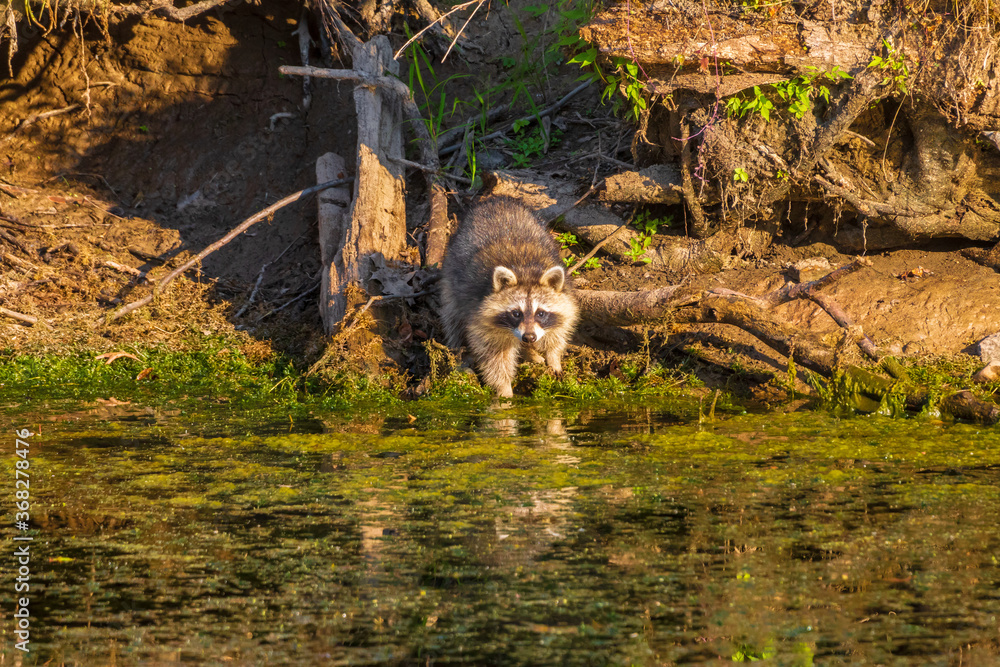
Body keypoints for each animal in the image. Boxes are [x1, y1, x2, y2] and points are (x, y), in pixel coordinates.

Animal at [440, 196, 580, 400]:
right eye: (516, 313)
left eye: (541, 313)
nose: (529, 337)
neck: (526, 272)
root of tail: (496, 200)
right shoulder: (481, 318)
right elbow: (494, 357)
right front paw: (504, 389)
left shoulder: (565, 297)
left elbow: (558, 331)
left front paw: (553, 357)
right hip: (451, 271)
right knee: (452, 316)